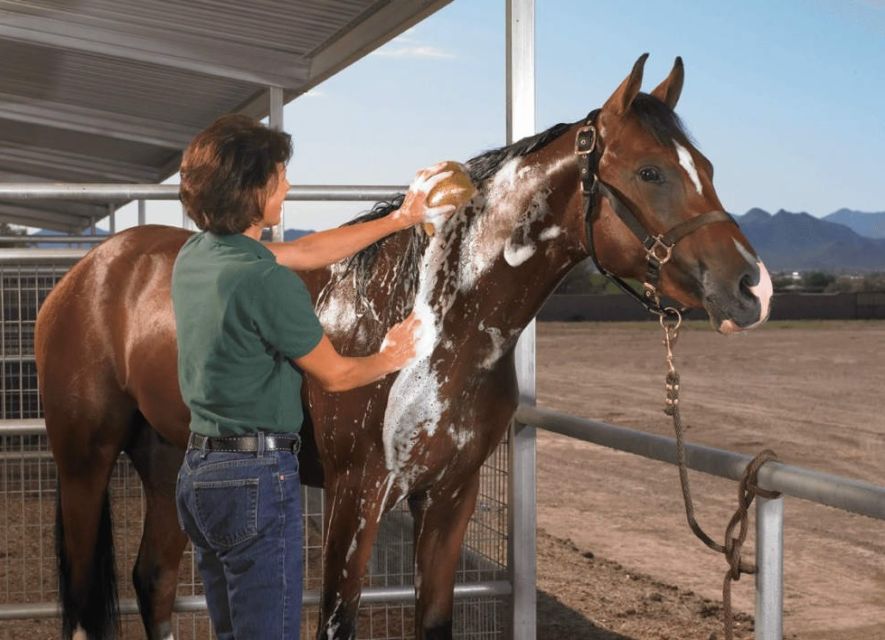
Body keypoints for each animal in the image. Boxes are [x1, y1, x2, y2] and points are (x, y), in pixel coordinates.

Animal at [34, 56, 768, 640]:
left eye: (704, 167)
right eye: (649, 172)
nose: (749, 287)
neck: (435, 320)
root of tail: (89, 268)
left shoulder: (448, 497)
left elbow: (433, 619)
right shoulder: (356, 498)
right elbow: (335, 621)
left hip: (164, 458)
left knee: (153, 579)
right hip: (84, 460)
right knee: (84, 596)